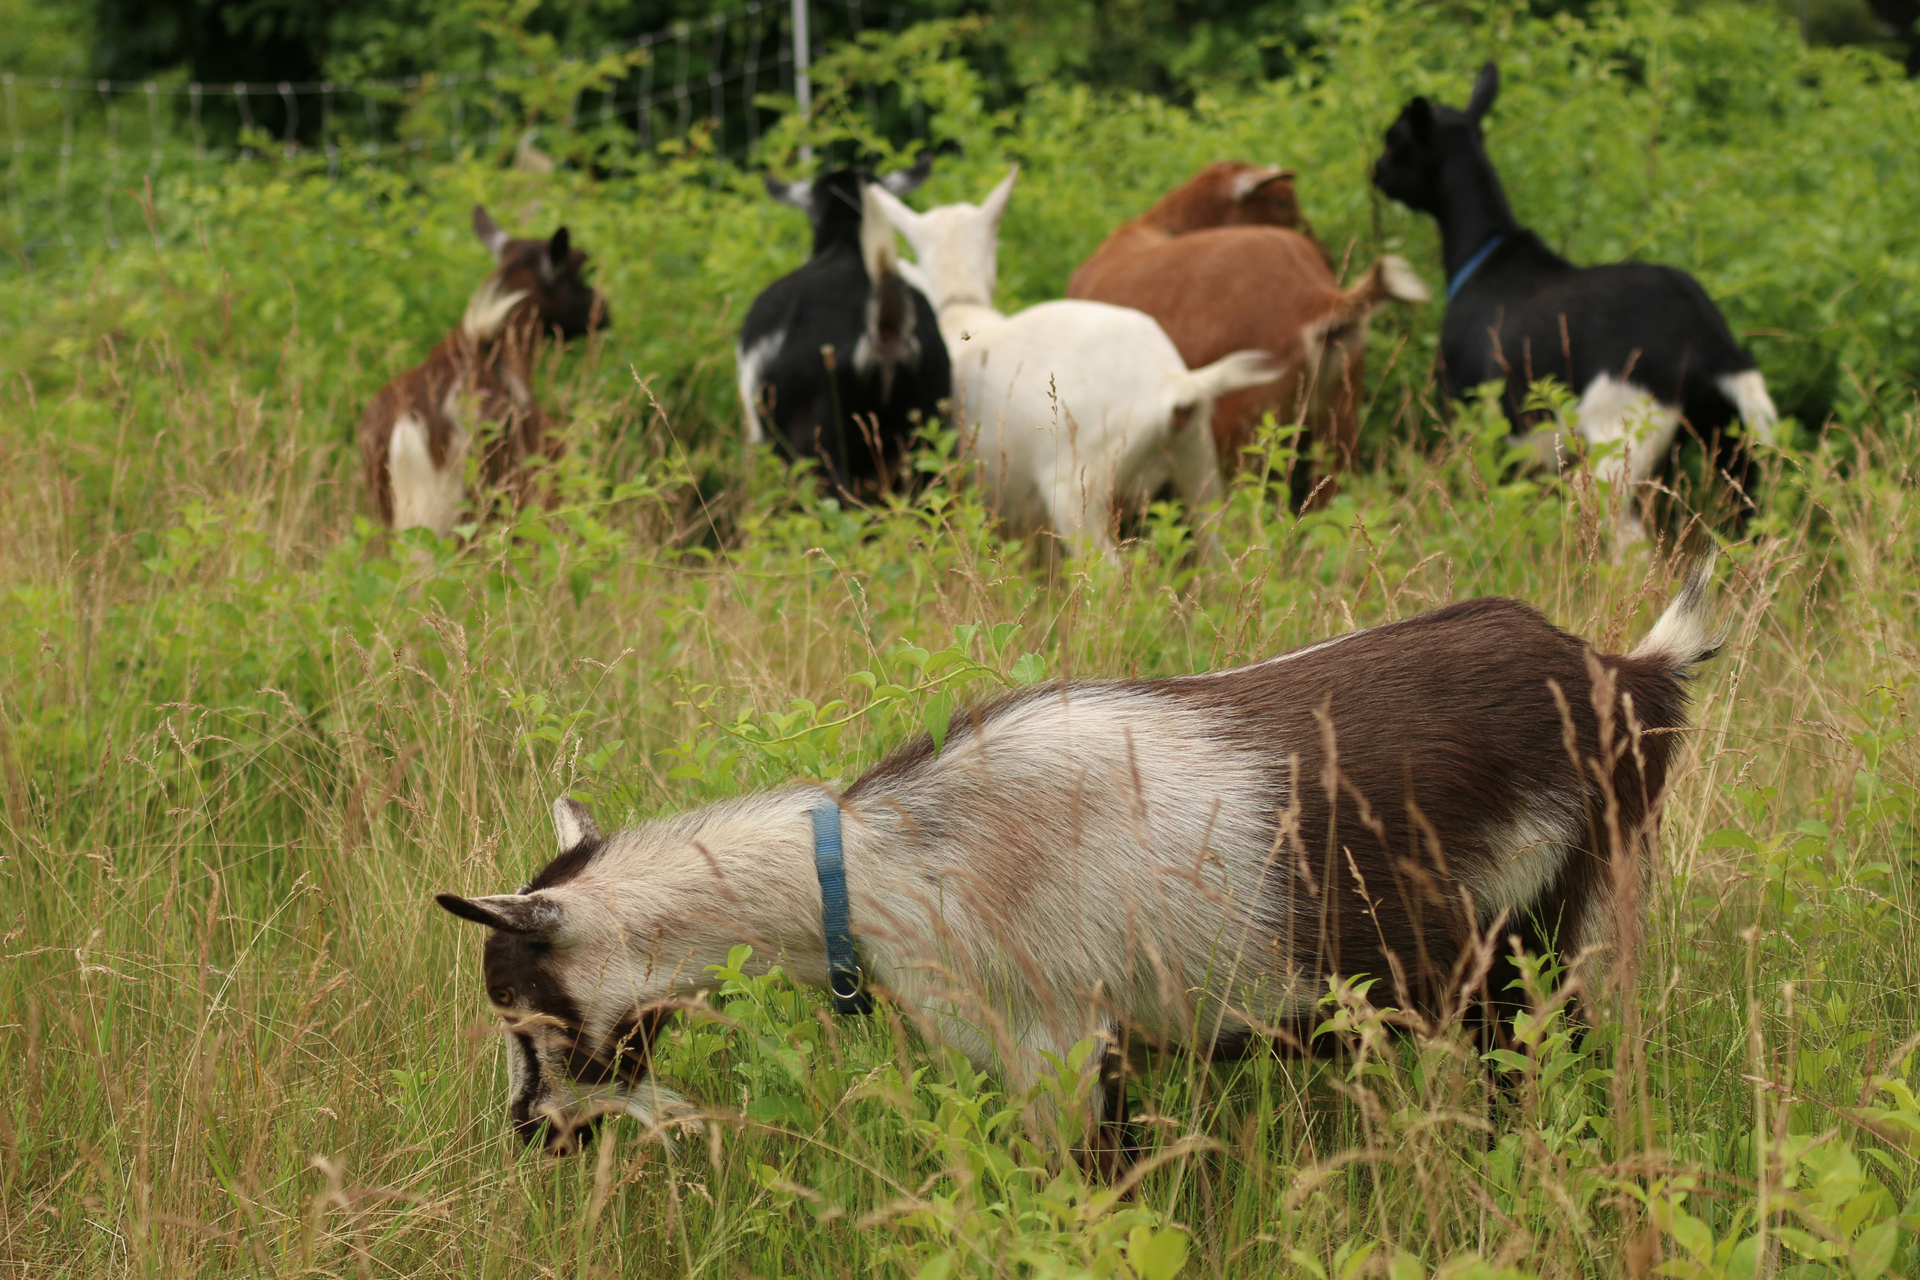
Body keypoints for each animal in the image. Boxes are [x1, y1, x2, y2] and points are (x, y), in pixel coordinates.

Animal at [1374, 62, 1774, 545]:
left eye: (1394, 140)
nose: (1375, 171)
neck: (1486, 254)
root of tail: (1710, 343)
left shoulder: (1470, 415)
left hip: (1620, 440)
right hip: (1734, 443)